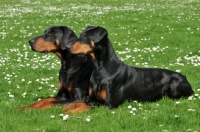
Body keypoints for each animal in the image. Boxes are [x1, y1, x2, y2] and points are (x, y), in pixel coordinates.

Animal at [65, 26, 194, 113]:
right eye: (81, 34)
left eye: (86, 36)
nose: (67, 47)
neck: (99, 69)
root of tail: (185, 77)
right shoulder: (91, 99)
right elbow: (80, 103)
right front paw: (68, 107)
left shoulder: (109, 104)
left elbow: (89, 107)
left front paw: (72, 111)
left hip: (175, 84)